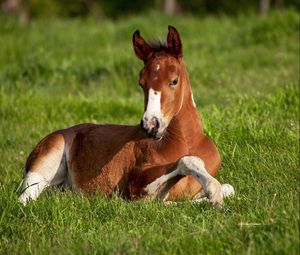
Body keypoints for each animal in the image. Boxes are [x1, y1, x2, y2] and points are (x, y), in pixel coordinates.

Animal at [19, 25, 234, 206]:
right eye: (141, 83)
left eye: (174, 80)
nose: (150, 125)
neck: (186, 142)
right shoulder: (136, 186)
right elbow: (185, 163)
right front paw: (213, 192)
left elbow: (229, 188)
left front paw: (213, 196)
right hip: (44, 163)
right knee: (25, 199)